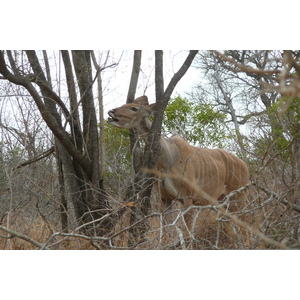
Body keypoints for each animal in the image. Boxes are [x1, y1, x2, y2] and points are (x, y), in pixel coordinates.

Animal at [107, 96, 248, 234]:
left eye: (134, 108)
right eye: (124, 105)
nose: (111, 112)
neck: (168, 158)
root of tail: (245, 166)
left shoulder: (188, 199)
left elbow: (187, 233)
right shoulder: (165, 199)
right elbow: (167, 233)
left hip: (238, 198)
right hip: (222, 202)